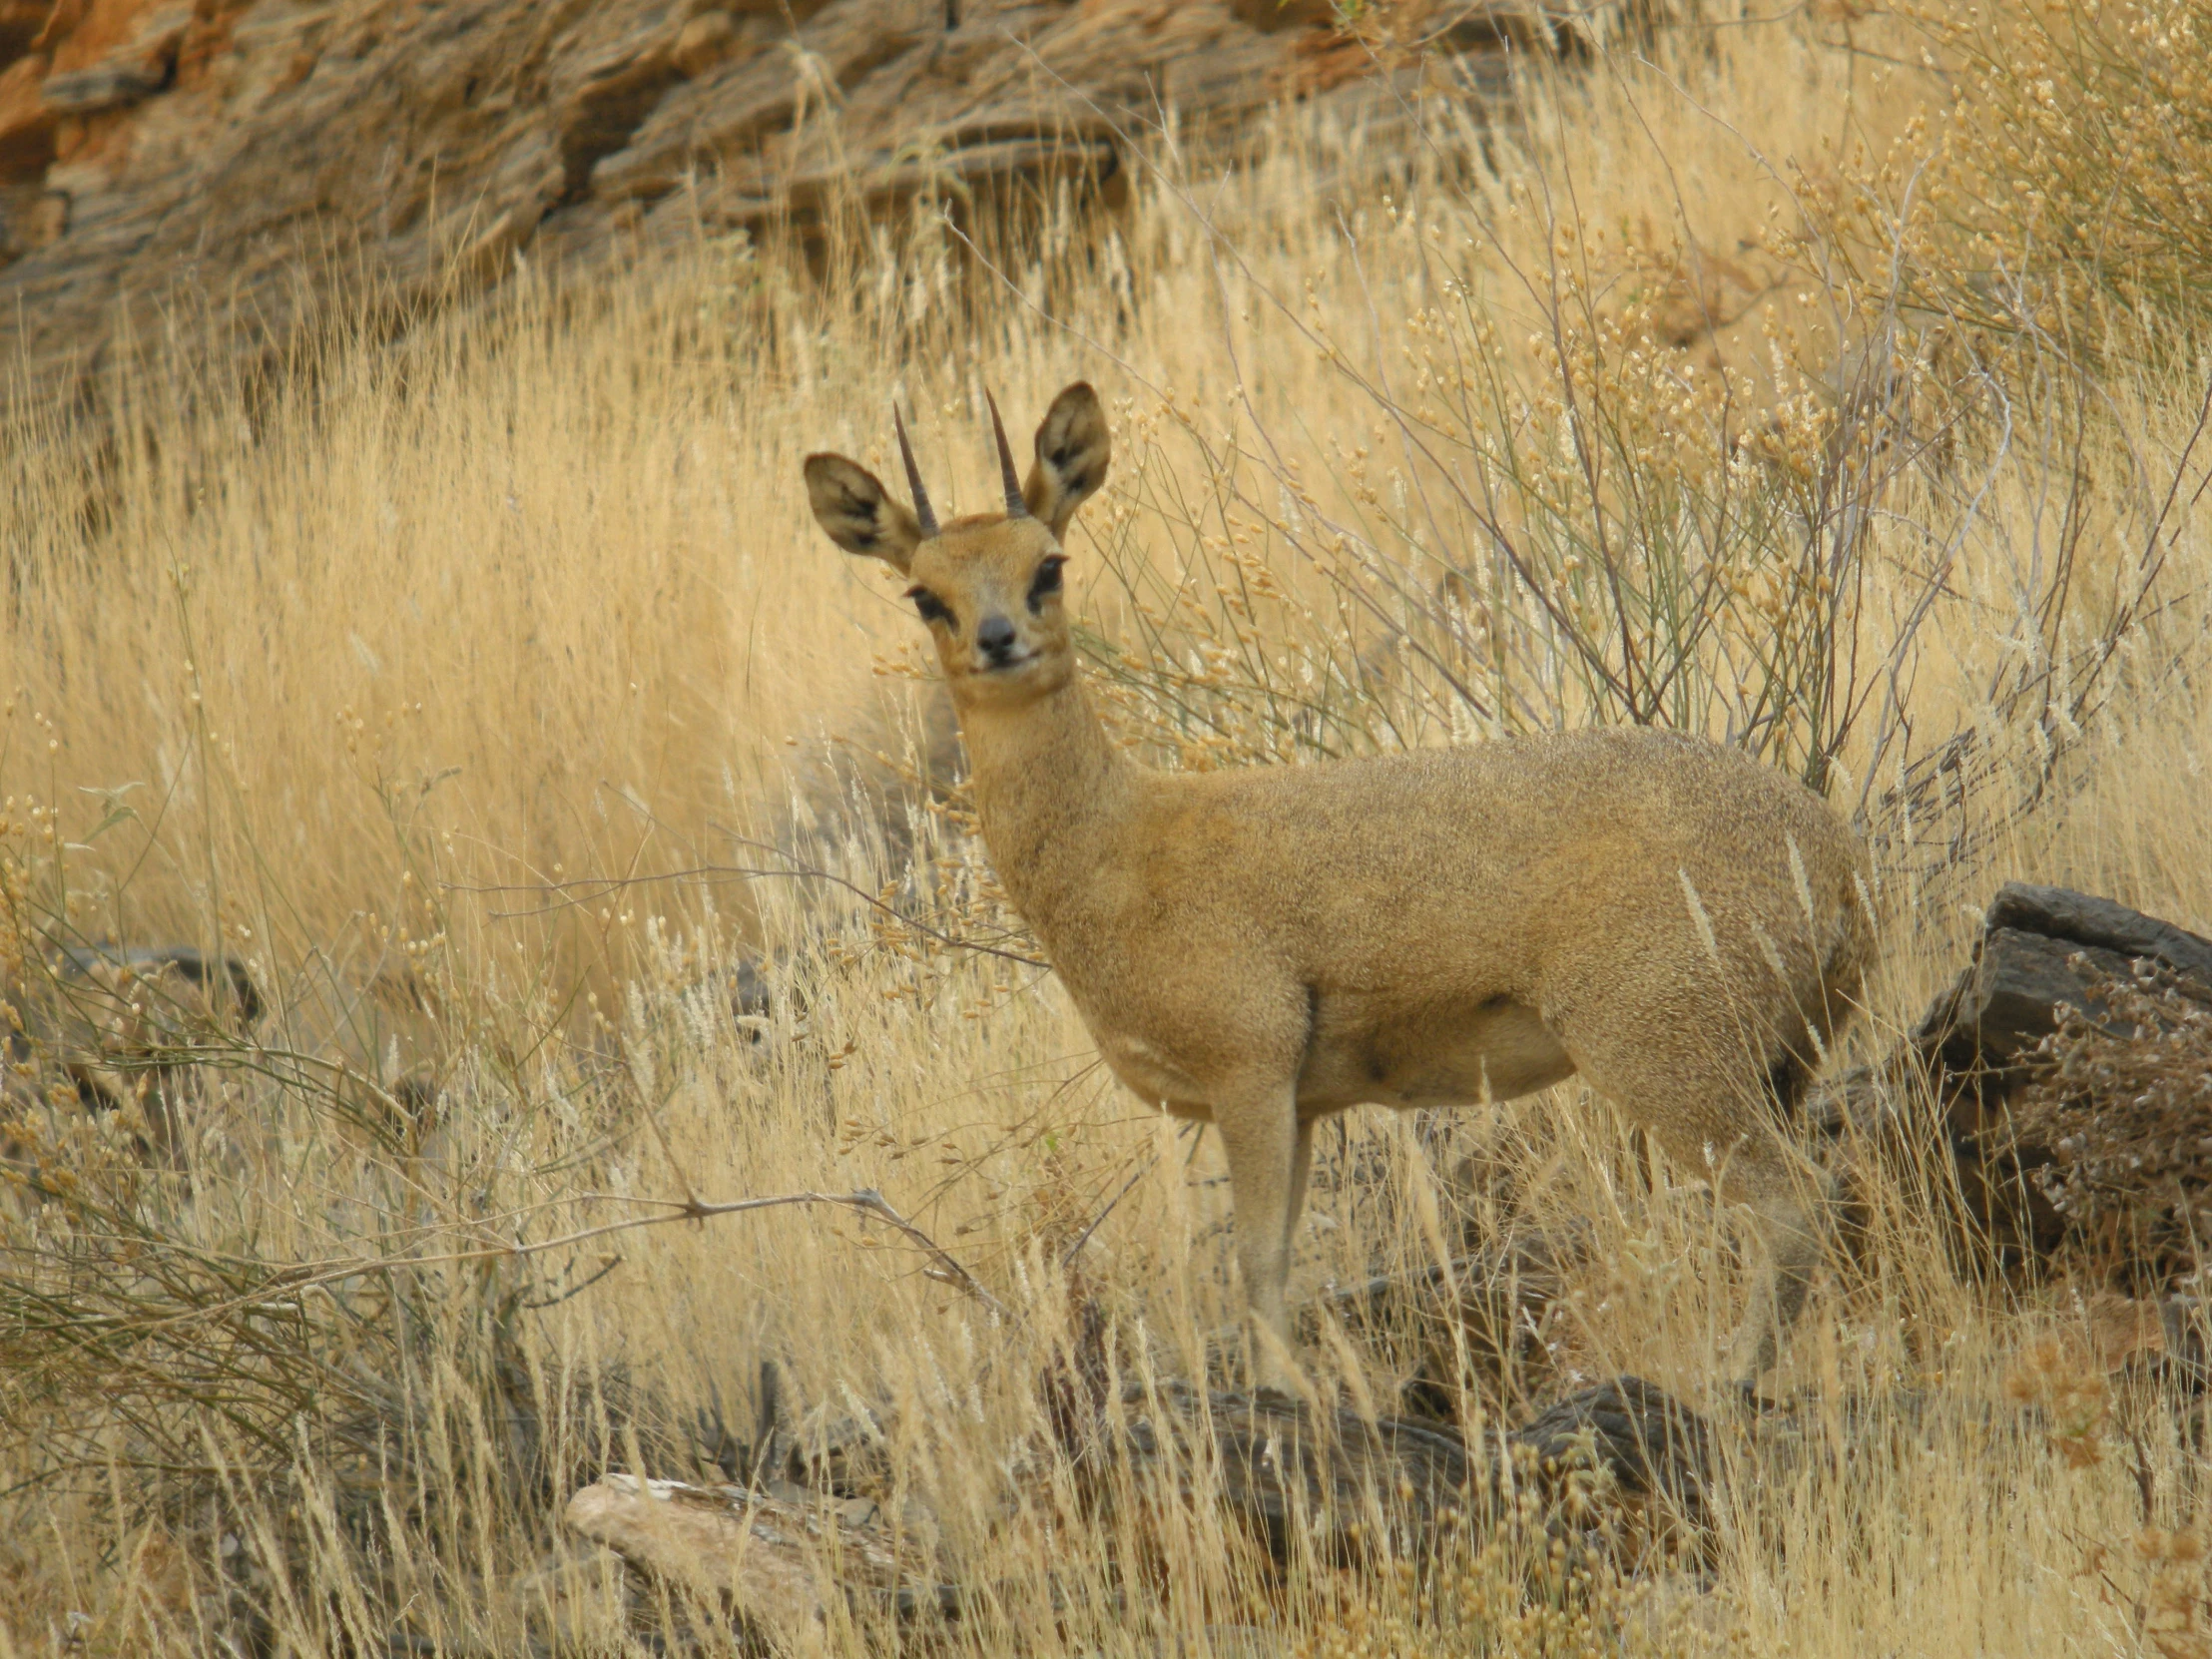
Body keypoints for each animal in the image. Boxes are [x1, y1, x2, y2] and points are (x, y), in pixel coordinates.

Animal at [805, 382, 1876, 1397]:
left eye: (1048, 565)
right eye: (923, 593)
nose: (997, 638)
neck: (1123, 846)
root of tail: (1835, 857)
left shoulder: (1249, 1067)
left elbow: (1257, 1265)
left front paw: (1300, 1398)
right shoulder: (1308, 1102)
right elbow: (1279, 1264)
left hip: (1668, 1054)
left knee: (1794, 1203)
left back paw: (1727, 1380)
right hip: (1778, 1064)